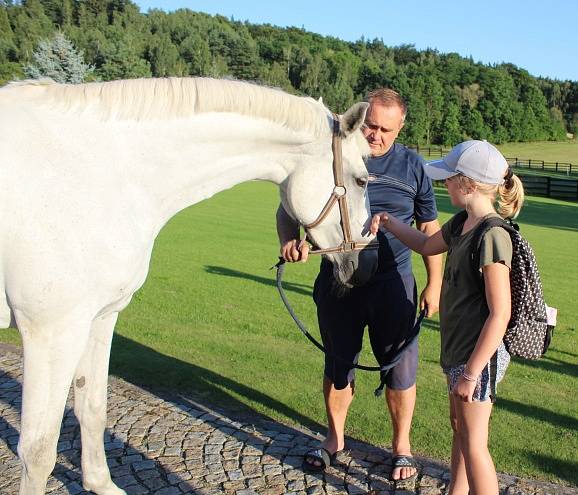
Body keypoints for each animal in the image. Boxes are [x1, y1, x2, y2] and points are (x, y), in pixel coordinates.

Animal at [0, 78, 376, 495]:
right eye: (361, 180)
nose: (362, 265)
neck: (106, 172)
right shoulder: (52, 332)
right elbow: (37, 450)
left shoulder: (99, 318)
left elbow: (92, 408)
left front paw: (101, 482)